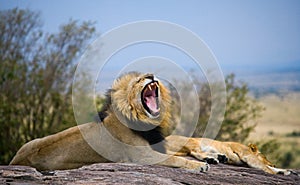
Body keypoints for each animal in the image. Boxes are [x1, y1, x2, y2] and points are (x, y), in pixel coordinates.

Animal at [10, 72, 210, 172]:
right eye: (138, 80)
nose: (151, 75)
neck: (143, 121)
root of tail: (15, 161)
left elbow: (180, 149)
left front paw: (208, 157)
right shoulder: (142, 156)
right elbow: (176, 158)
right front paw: (199, 166)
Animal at [165, 134, 294, 175]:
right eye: (265, 156)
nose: (274, 163)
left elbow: (269, 167)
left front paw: (284, 171)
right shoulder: (248, 156)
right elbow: (265, 167)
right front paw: (275, 172)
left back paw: (219, 158)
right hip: (191, 141)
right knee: (195, 152)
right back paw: (213, 159)